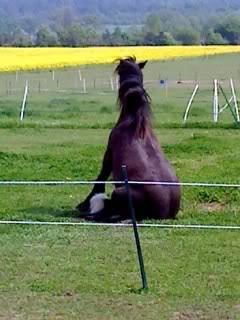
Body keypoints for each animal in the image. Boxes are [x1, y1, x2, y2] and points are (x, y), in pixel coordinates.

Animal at [76, 57, 181, 221]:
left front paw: (83, 204)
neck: (133, 122)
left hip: (117, 193)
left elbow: (100, 179)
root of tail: (163, 214)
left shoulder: (108, 156)